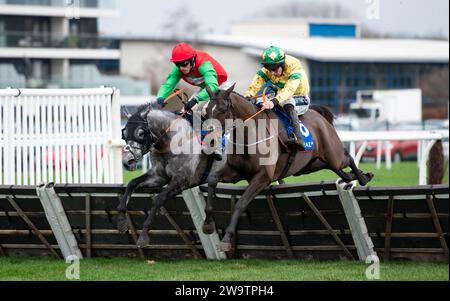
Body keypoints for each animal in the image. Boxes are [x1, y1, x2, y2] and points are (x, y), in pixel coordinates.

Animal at [117, 102, 224, 247]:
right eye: (125, 133)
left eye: (141, 133)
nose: (127, 161)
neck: (172, 142)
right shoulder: (159, 176)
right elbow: (131, 184)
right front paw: (122, 220)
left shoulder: (182, 177)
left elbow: (160, 197)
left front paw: (144, 235)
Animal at [204, 85, 372, 251]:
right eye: (206, 112)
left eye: (222, 109)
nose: (210, 140)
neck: (249, 135)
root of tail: (319, 116)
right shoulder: (235, 172)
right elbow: (212, 180)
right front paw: (208, 224)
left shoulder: (263, 177)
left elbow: (240, 204)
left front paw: (226, 238)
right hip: (307, 166)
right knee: (335, 168)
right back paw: (355, 176)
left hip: (333, 155)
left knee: (347, 158)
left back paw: (363, 178)